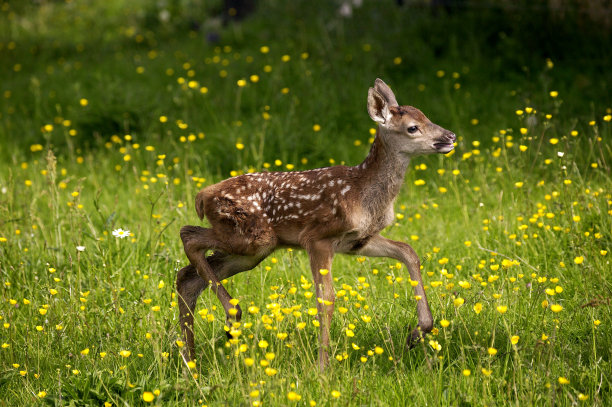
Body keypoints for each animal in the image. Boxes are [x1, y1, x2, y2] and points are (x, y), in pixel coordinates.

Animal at [177, 79, 454, 370]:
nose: (450, 137)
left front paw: (418, 332)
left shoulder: (358, 241)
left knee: (187, 277)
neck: (363, 194)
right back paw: (230, 318)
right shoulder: (317, 237)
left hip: (253, 250)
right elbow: (326, 299)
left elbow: (408, 251)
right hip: (252, 237)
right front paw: (322, 367)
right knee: (189, 236)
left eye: (426, 116)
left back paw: (191, 363)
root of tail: (202, 195)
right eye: (412, 127)